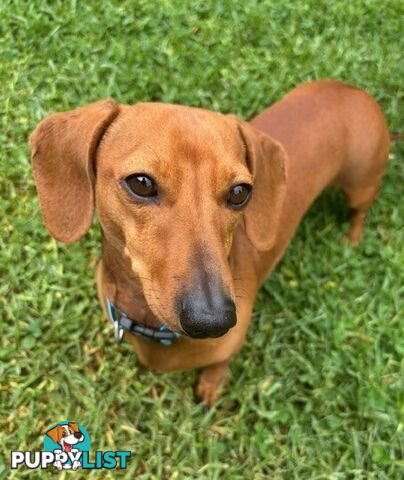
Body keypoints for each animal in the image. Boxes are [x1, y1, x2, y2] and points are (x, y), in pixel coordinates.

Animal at [30, 79, 390, 404]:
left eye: (240, 192)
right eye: (141, 183)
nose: (213, 321)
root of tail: (356, 92)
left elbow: (220, 363)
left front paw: (211, 385)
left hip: (361, 183)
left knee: (361, 209)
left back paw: (352, 239)